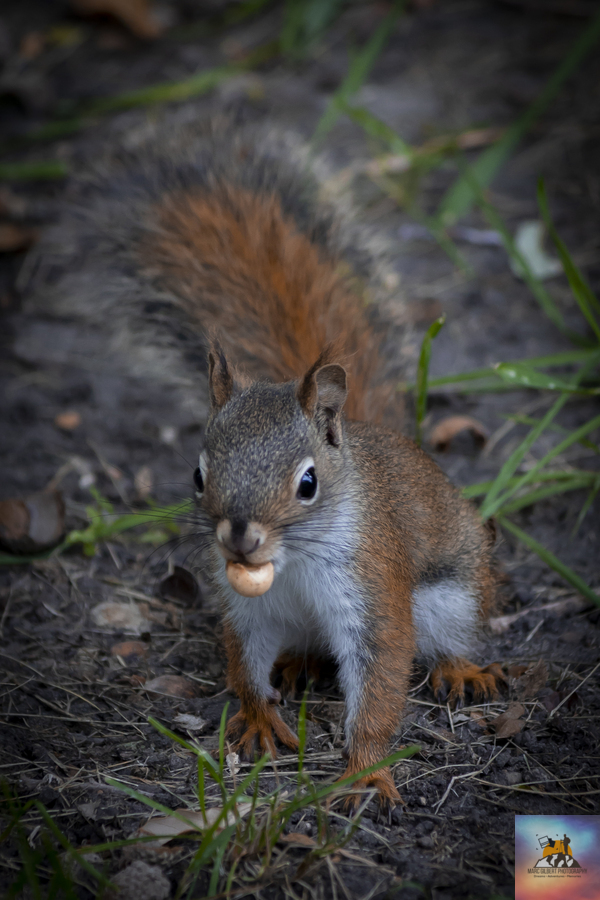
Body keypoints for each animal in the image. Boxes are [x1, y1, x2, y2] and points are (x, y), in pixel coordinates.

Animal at [27, 114, 504, 809]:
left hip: (457, 590)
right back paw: (297, 665)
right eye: (198, 475)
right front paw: (256, 718)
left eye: (307, 483)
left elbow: (382, 679)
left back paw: (463, 669)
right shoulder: (245, 607)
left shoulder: (373, 587)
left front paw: (365, 769)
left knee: (452, 636)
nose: (239, 537)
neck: (291, 562)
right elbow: (243, 665)